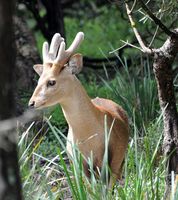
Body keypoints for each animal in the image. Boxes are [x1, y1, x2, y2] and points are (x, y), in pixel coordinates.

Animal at [29, 32, 129, 187]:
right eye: (39, 81)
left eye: (51, 82)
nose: (32, 102)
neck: (88, 138)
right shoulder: (77, 162)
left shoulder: (112, 160)